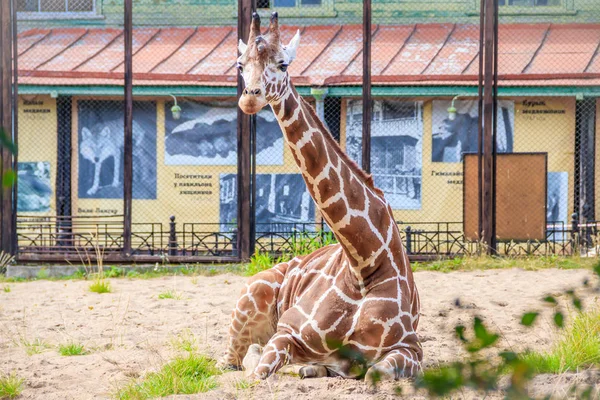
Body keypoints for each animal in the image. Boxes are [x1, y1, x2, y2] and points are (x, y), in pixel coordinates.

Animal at [220, 10, 422, 382]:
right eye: (240, 64)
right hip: (249, 298)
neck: (363, 264)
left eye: (283, 63)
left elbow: (376, 373)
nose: (250, 98)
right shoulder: (288, 331)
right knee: (232, 360)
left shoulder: (410, 348)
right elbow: (259, 370)